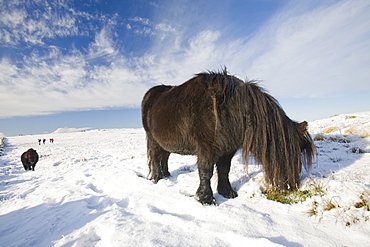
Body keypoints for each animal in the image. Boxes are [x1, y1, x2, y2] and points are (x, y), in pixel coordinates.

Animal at [141, 69, 316, 205]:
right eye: (298, 151)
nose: (292, 186)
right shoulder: (206, 149)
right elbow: (206, 172)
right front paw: (206, 199)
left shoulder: (228, 149)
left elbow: (225, 170)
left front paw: (227, 192)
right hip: (152, 139)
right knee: (155, 157)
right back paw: (157, 178)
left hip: (165, 142)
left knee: (165, 156)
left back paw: (166, 175)